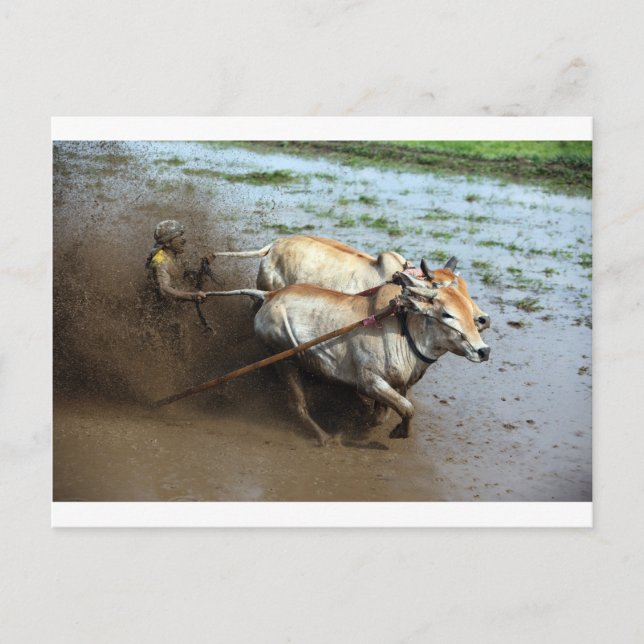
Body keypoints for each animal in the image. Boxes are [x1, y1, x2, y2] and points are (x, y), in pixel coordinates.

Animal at [207, 272, 490, 446]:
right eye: (447, 314)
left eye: (468, 308)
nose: (483, 351)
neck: (404, 332)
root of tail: (268, 296)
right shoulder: (369, 381)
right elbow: (406, 409)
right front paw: (394, 430)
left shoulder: (394, 385)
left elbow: (386, 412)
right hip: (281, 359)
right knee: (297, 404)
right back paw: (324, 437)